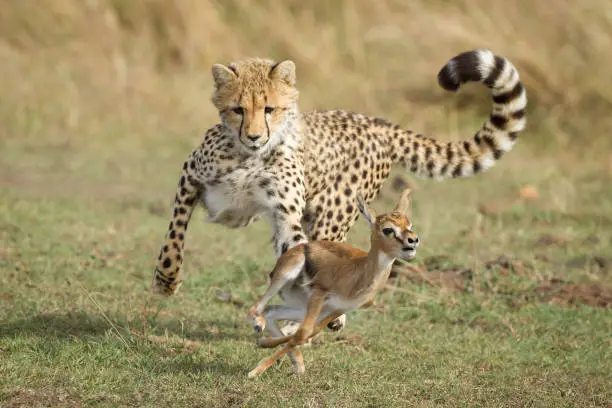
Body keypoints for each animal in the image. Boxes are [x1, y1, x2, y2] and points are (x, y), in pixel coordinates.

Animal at [152, 49, 524, 332]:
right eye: (238, 110)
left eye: (270, 109)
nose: (255, 136)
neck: (249, 156)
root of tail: (378, 123)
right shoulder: (191, 176)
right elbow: (174, 233)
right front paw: (166, 279)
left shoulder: (286, 215)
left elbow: (299, 252)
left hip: (334, 215)